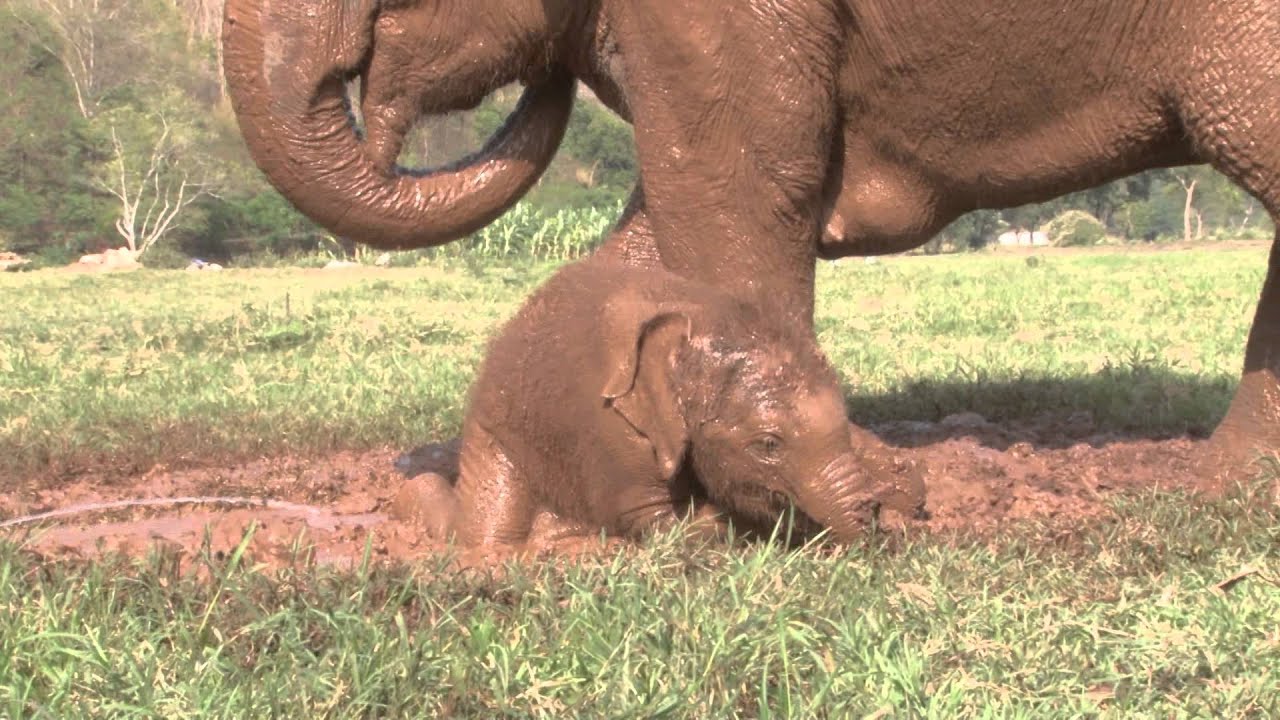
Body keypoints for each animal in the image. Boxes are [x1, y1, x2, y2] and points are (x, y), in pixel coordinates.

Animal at [409, 257, 926, 546]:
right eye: (768, 444)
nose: (880, 520)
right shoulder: (611, 428)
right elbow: (649, 519)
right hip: (495, 427)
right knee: (485, 530)